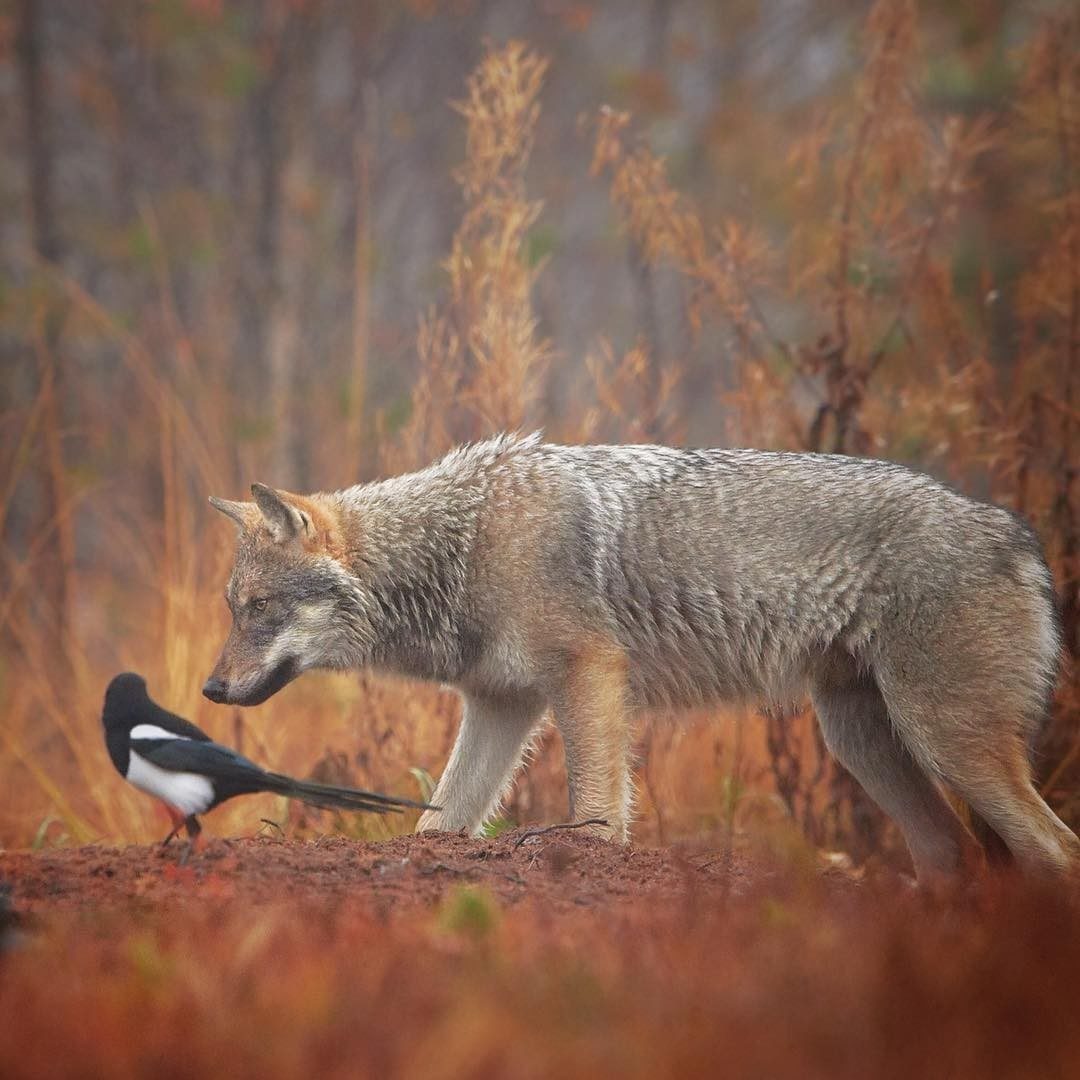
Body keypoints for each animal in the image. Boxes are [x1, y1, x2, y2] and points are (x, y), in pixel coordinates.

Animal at [204, 429, 1080, 876]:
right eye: (233, 610)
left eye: (259, 610)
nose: (210, 691)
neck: (463, 543)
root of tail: (1017, 535)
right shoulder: (501, 705)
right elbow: (439, 822)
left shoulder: (589, 674)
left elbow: (594, 808)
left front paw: (589, 864)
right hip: (866, 744)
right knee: (956, 852)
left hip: (947, 743)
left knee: (1056, 851)